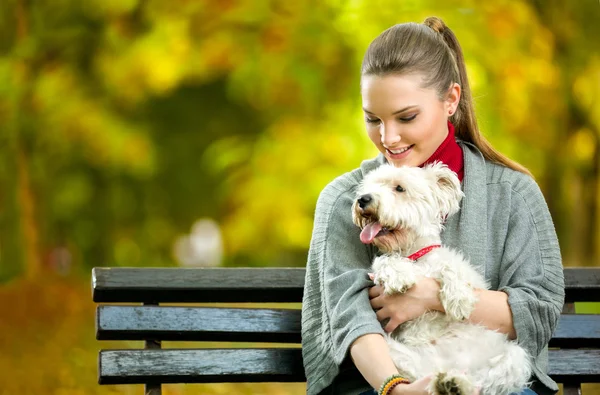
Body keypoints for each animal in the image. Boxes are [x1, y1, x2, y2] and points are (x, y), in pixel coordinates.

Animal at [352, 163, 528, 395]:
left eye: (399, 188)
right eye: (368, 186)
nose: (363, 199)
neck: (415, 256)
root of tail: (455, 364)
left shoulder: (458, 269)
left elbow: (450, 268)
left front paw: (459, 299)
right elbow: (384, 262)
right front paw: (399, 275)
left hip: (514, 358)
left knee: (483, 381)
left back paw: (455, 383)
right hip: (404, 354)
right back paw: (448, 383)